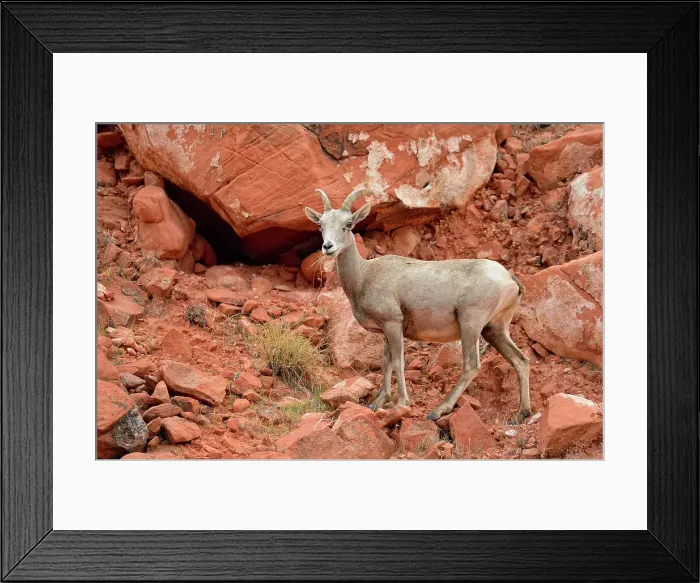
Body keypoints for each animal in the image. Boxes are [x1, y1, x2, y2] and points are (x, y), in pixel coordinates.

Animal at [304, 188, 531, 423]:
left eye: (348, 224)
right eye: (321, 225)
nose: (328, 247)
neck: (364, 277)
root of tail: (508, 278)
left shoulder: (392, 323)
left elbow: (397, 362)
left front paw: (403, 403)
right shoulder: (385, 331)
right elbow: (386, 362)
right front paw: (378, 403)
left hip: (471, 325)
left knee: (471, 365)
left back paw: (437, 411)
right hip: (494, 329)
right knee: (521, 360)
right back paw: (522, 413)